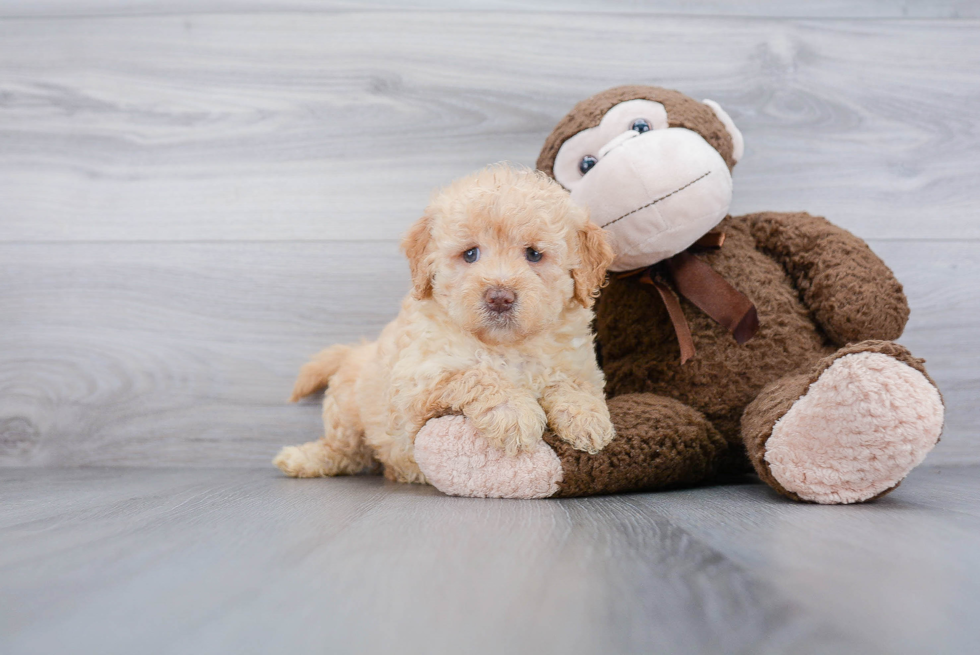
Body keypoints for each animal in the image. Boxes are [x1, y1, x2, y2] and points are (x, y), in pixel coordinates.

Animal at [272, 165, 616, 482]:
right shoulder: (418, 381)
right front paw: (515, 412)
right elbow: (475, 374)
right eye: (470, 254)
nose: (499, 297)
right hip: (346, 406)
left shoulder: (580, 367)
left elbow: (574, 384)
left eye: (533, 254)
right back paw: (303, 459)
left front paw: (588, 418)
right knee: (345, 451)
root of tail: (359, 350)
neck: (505, 346)